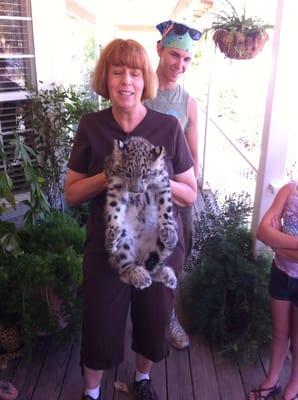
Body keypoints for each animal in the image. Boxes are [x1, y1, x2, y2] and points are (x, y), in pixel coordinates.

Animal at [103, 136, 178, 290]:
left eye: (146, 175)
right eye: (127, 173)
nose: (136, 191)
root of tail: (140, 253)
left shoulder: (162, 183)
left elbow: (166, 207)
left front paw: (169, 232)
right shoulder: (115, 185)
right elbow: (114, 208)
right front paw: (113, 233)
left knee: (153, 265)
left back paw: (168, 276)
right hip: (124, 242)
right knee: (125, 267)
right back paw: (140, 275)